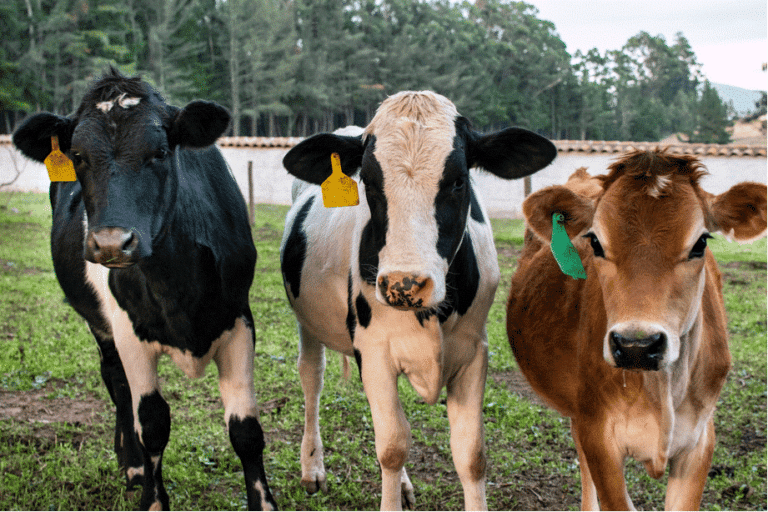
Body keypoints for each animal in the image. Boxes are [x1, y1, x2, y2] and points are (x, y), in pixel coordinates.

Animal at [12, 68, 276, 511]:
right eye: (78, 156)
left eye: (160, 152)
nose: (111, 244)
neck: (176, 285)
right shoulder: (128, 331)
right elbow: (151, 423)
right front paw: (153, 498)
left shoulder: (239, 318)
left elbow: (246, 429)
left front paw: (264, 502)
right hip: (100, 324)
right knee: (116, 382)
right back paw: (133, 466)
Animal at [279, 90, 556, 511]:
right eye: (369, 182)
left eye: (459, 181)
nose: (404, 284)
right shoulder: (374, 351)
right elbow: (392, 447)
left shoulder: (474, 351)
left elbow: (471, 455)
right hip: (307, 323)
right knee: (312, 376)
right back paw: (313, 468)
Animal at [506, 149, 767, 511]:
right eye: (595, 242)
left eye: (701, 242)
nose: (637, 345)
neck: (662, 391)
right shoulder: (599, 434)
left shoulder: (700, 439)